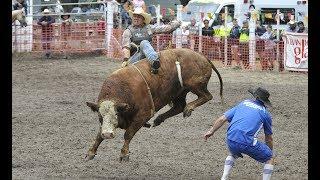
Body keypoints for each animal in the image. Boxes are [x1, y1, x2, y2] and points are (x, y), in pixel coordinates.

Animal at [86, 47, 224, 162]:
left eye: (116, 114)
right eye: (100, 115)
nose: (108, 134)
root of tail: (202, 56)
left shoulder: (143, 114)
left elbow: (128, 134)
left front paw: (124, 154)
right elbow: (98, 135)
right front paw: (91, 152)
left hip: (195, 84)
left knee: (206, 96)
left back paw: (188, 108)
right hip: (179, 91)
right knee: (179, 106)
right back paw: (159, 119)